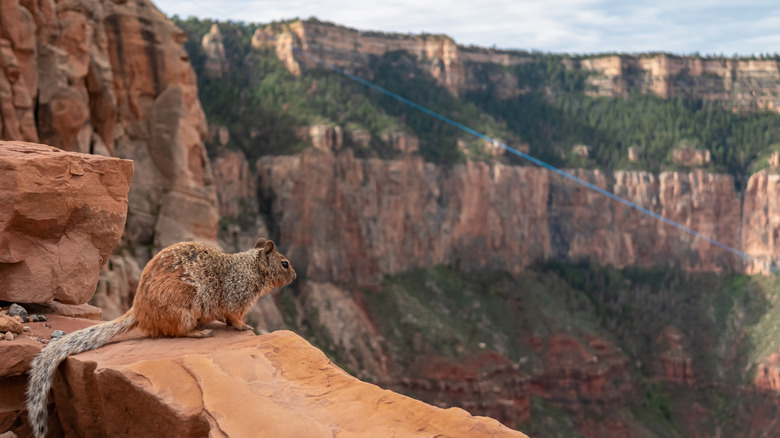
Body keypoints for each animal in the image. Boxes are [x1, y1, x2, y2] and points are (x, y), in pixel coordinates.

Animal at [26, 237, 296, 438]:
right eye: (285, 264)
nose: (294, 277)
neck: (251, 268)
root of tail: (138, 310)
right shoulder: (238, 298)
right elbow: (235, 317)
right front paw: (244, 327)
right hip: (184, 307)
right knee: (177, 331)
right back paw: (200, 331)